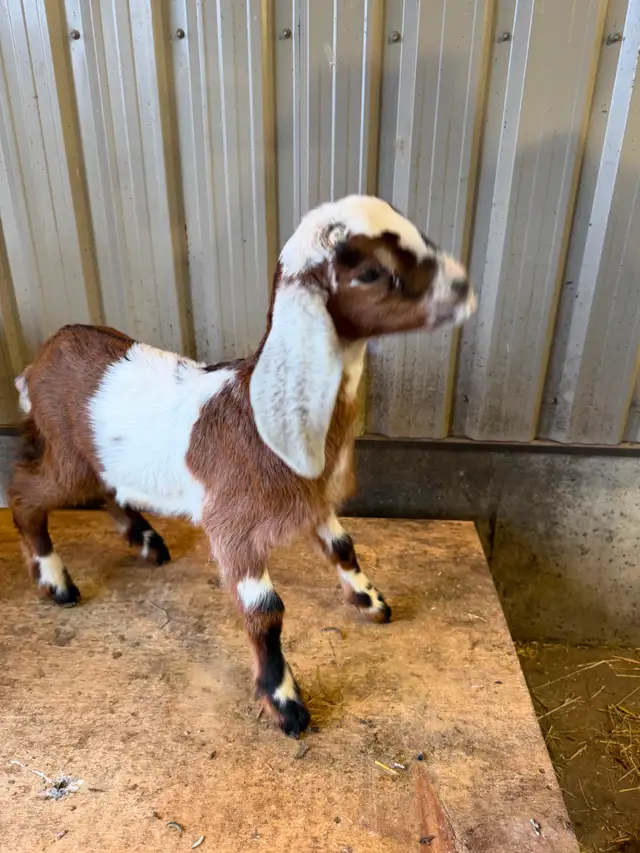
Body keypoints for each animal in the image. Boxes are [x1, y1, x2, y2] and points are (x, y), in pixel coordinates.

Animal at [9, 195, 476, 736]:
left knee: (110, 487)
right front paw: (285, 702)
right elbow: (265, 611)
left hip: (95, 455)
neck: (256, 409)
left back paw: (147, 541)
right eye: (369, 272)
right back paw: (57, 582)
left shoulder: (313, 502)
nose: (462, 288)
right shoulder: (232, 527)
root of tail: (41, 358)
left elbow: (342, 546)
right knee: (25, 493)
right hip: (66, 453)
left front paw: (370, 600)